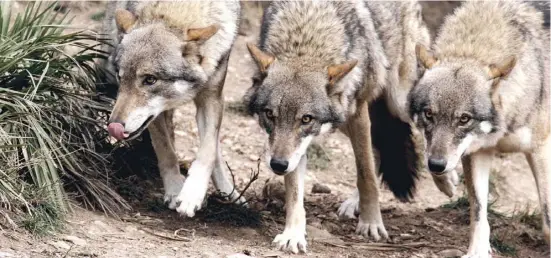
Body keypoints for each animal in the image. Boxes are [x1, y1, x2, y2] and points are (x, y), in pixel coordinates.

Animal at [99, 1, 246, 217]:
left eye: (150, 79)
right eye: (121, 76)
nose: (113, 125)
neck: (174, 11)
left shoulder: (212, 97)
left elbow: (208, 150)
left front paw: (192, 194)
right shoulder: (155, 115)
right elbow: (166, 150)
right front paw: (176, 190)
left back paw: (229, 192)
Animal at [246, 1, 432, 253]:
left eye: (306, 119)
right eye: (269, 115)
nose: (277, 165)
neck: (307, 35)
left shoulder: (358, 114)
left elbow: (366, 176)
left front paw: (371, 223)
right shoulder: (296, 150)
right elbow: (294, 194)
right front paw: (293, 234)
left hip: (398, 103)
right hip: (343, 120)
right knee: (377, 149)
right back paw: (353, 203)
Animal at [410, 1, 551, 256]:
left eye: (464, 119)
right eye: (429, 114)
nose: (436, 165)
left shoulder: (540, 149)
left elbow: (547, 219)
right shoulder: (477, 153)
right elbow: (478, 210)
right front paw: (477, 251)